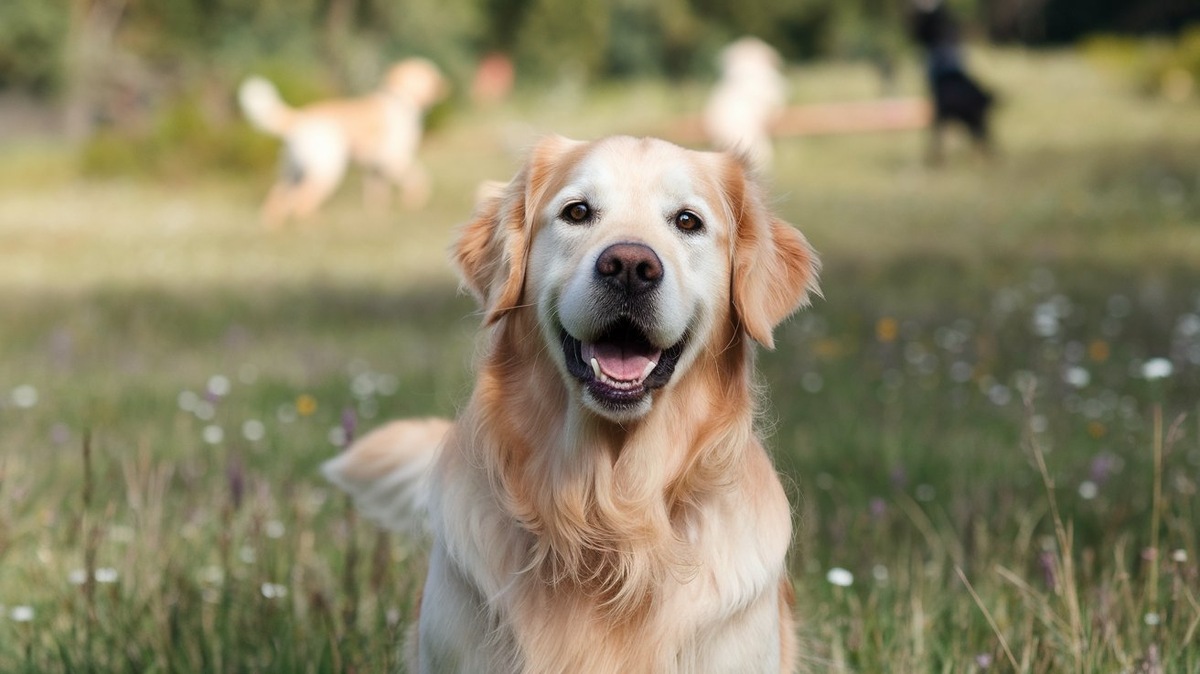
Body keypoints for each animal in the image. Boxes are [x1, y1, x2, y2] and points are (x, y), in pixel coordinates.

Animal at [238, 58, 451, 225]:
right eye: (431, 73)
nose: (445, 84)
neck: (400, 99)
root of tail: (300, 119)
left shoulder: (376, 168)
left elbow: (377, 196)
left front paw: (378, 218)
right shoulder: (393, 158)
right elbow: (419, 178)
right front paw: (414, 201)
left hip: (292, 172)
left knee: (277, 199)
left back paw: (274, 228)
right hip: (328, 169)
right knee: (301, 203)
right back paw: (314, 227)